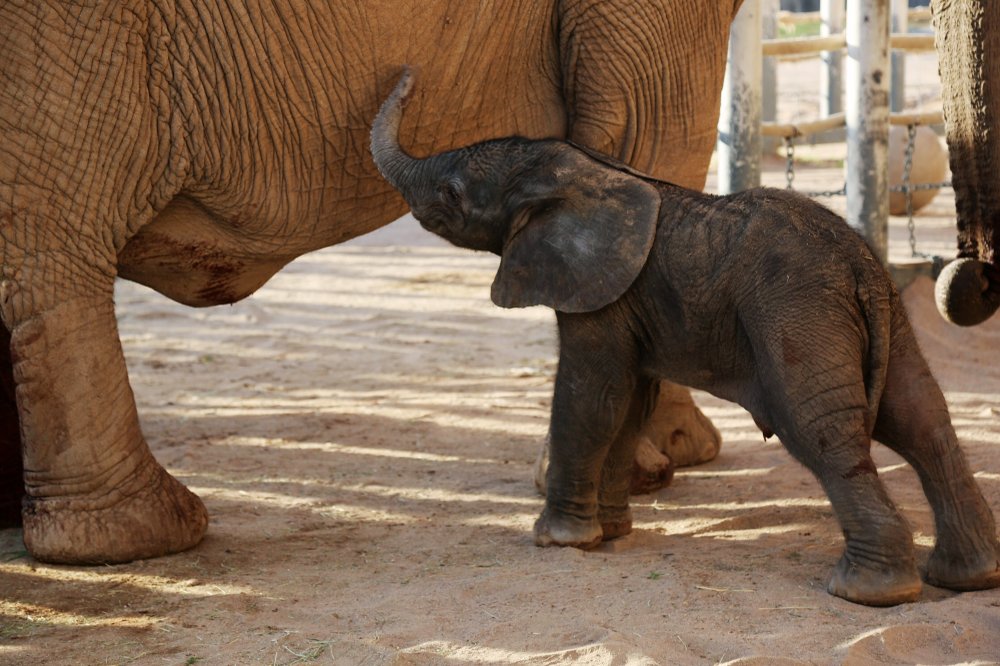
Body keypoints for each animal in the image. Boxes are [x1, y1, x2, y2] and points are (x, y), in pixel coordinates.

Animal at [1, 0, 744, 564]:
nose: (409, 74)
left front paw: (681, 456)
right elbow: (650, 135)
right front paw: (658, 470)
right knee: (54, 239)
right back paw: (144, 539)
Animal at [370, 70, 1000, 604]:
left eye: (452, 194)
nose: (409, 73)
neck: (587, 172)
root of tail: (860, 268)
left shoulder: (601, 292)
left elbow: (591, 395)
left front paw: (558, 541)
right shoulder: (630, 302)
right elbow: (628, 402)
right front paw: (611, 534)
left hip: (798, 315)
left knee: (824, 431)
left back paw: (867, 592)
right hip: (884, 315)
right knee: (922, 418)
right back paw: (968, 578)